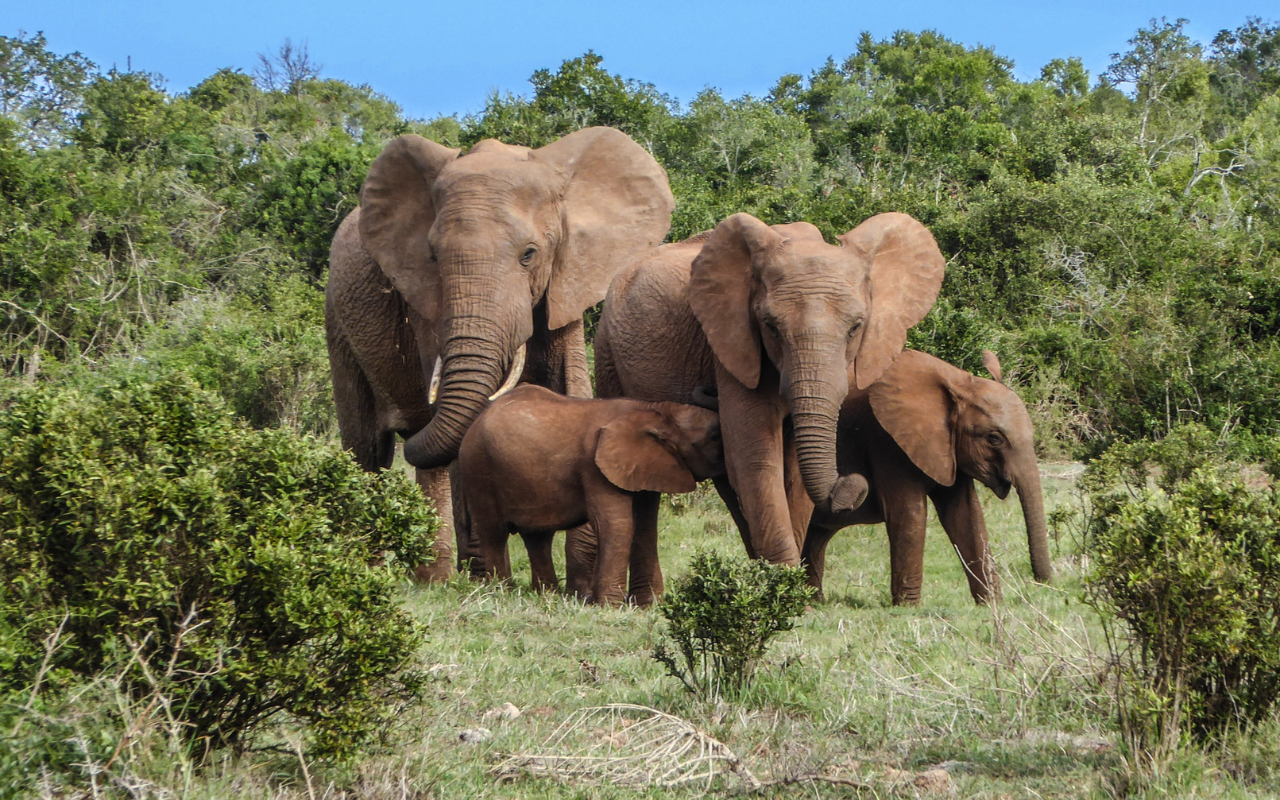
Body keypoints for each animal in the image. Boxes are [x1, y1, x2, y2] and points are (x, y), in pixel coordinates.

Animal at [325, 124, 675, 576]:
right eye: (433, 257)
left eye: (529, 254)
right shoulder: (424, 301)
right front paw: (485, 575)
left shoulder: (566, 280)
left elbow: (571, 387)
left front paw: (580, 578)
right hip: (337, 320)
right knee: (368, 449)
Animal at [460, 384, 727, 601]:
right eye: (714, 436)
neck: (654, 410)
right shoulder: (594, 466)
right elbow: (616, 524)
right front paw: (610, 606)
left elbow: (643, 526)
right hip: (477, 467)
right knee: (494, 533)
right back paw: (501, 592)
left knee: (538, 538)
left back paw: (546, 595)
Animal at [593, 208, 947, 565]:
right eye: (770, 327)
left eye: (856, 328)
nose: (853, 483)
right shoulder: (733, 346)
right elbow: (757, 460)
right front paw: (785, 578)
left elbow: (791, 473)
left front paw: (785, 578)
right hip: (607, 350)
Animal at [803, 348, 1054, 604]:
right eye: (994, 438)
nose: (1042, 582)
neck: (959, 382)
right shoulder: (886, 440)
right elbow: (909, 514)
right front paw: (908, 608)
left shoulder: (949, 450)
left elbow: (966, 514)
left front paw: (992, 604)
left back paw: (814, 601)